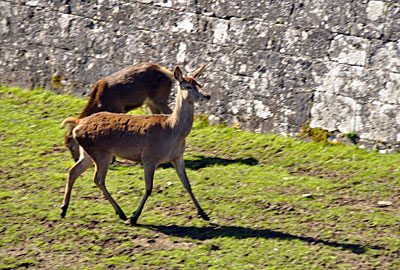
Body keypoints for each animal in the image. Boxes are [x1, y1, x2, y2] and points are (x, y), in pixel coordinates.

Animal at [60, 64, 209, 225]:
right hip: (101, 153)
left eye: (199, 83)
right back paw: (121, 213)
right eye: (188, 86)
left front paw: (204, 214)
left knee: (73, 171)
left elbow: (187, 184)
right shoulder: (149, 157)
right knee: (98, 179)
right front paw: (134, 217)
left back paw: (64, 209)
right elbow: (149, 188)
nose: (207, 95)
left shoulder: (178, 156)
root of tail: (79, 123)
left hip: (87, 153)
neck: (172, 131)